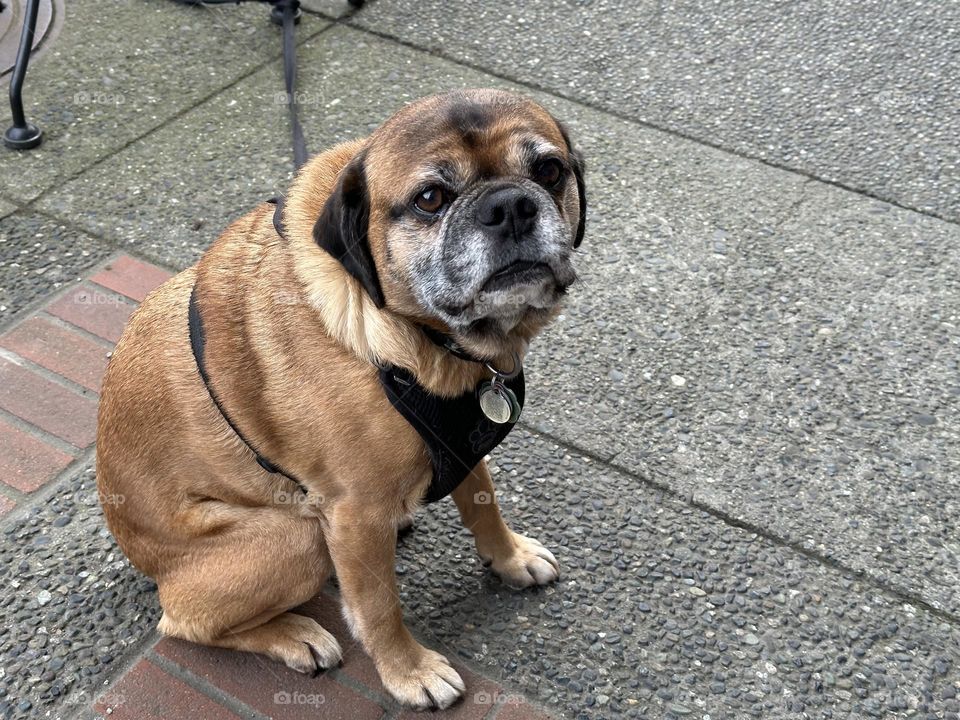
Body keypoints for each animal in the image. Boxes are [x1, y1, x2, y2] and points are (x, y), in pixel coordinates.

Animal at [95, 88, 584, 708]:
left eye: (548, 171)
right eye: (430, 199)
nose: (510, 207)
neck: (421, 340)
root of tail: (144, 559)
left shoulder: (462, 444)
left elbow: (483, 505)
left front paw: (510, 558)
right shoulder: (355, 515)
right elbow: (378, 608)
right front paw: (408, 671)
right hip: (295, 537)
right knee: (185, 621)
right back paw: (295, 636)